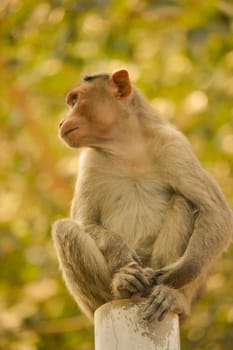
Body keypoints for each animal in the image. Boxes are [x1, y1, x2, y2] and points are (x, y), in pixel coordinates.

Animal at [52, 68, 232, 322]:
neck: (127, 146)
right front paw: (120, 250)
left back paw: (171, 295)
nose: (61, 121)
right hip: (96, 304)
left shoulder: (174, 146)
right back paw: (122, 286)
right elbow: (86, 222)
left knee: (183, 203)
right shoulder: (89, 162)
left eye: (75, 100)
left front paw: (175, 274)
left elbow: (215, 212)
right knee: (65, 229)